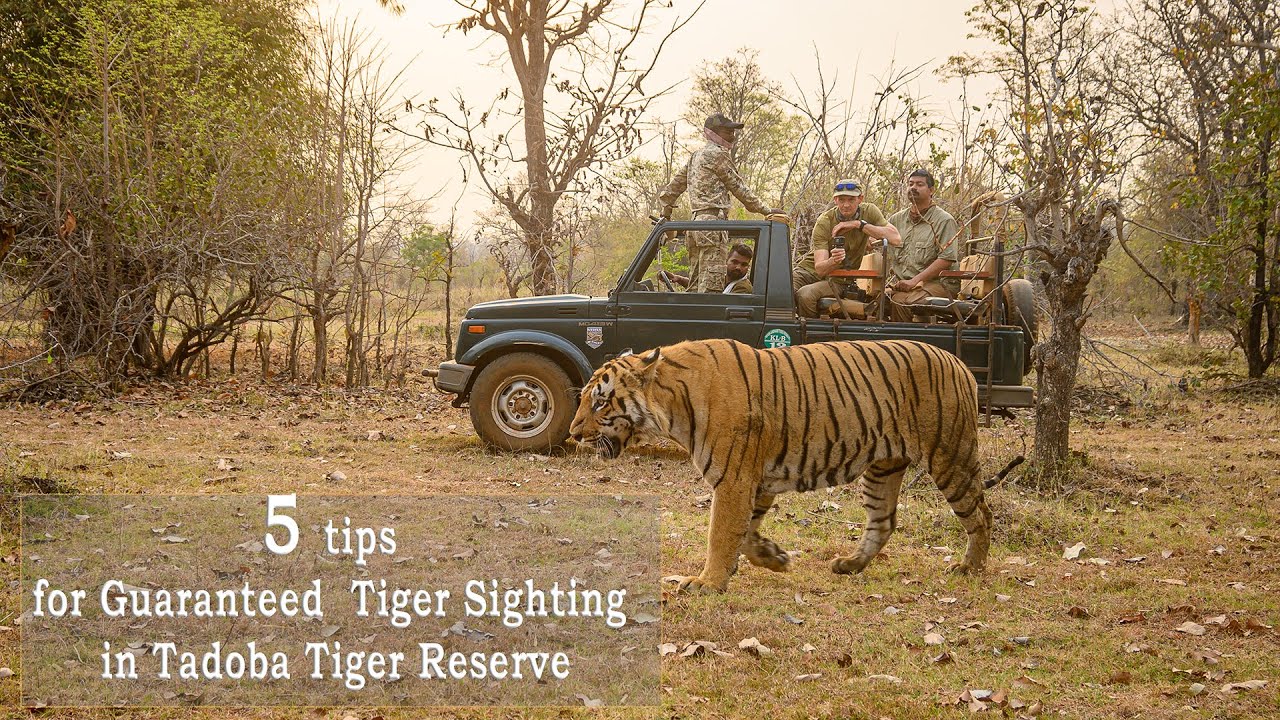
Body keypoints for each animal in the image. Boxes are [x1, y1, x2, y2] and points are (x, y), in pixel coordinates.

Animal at [569, 337, 1023, 594]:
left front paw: (705, 583)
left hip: (949, 456)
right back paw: (850, 565)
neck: (670, 401)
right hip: (882, 467)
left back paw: (969, 568)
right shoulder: (755, 482)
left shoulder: (734, 479)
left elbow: (721, 533)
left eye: (600, 402)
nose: (573, 433)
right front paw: (773, 558)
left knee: (981, 515)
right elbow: (744, 536)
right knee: (884, 522)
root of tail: (960, 363)